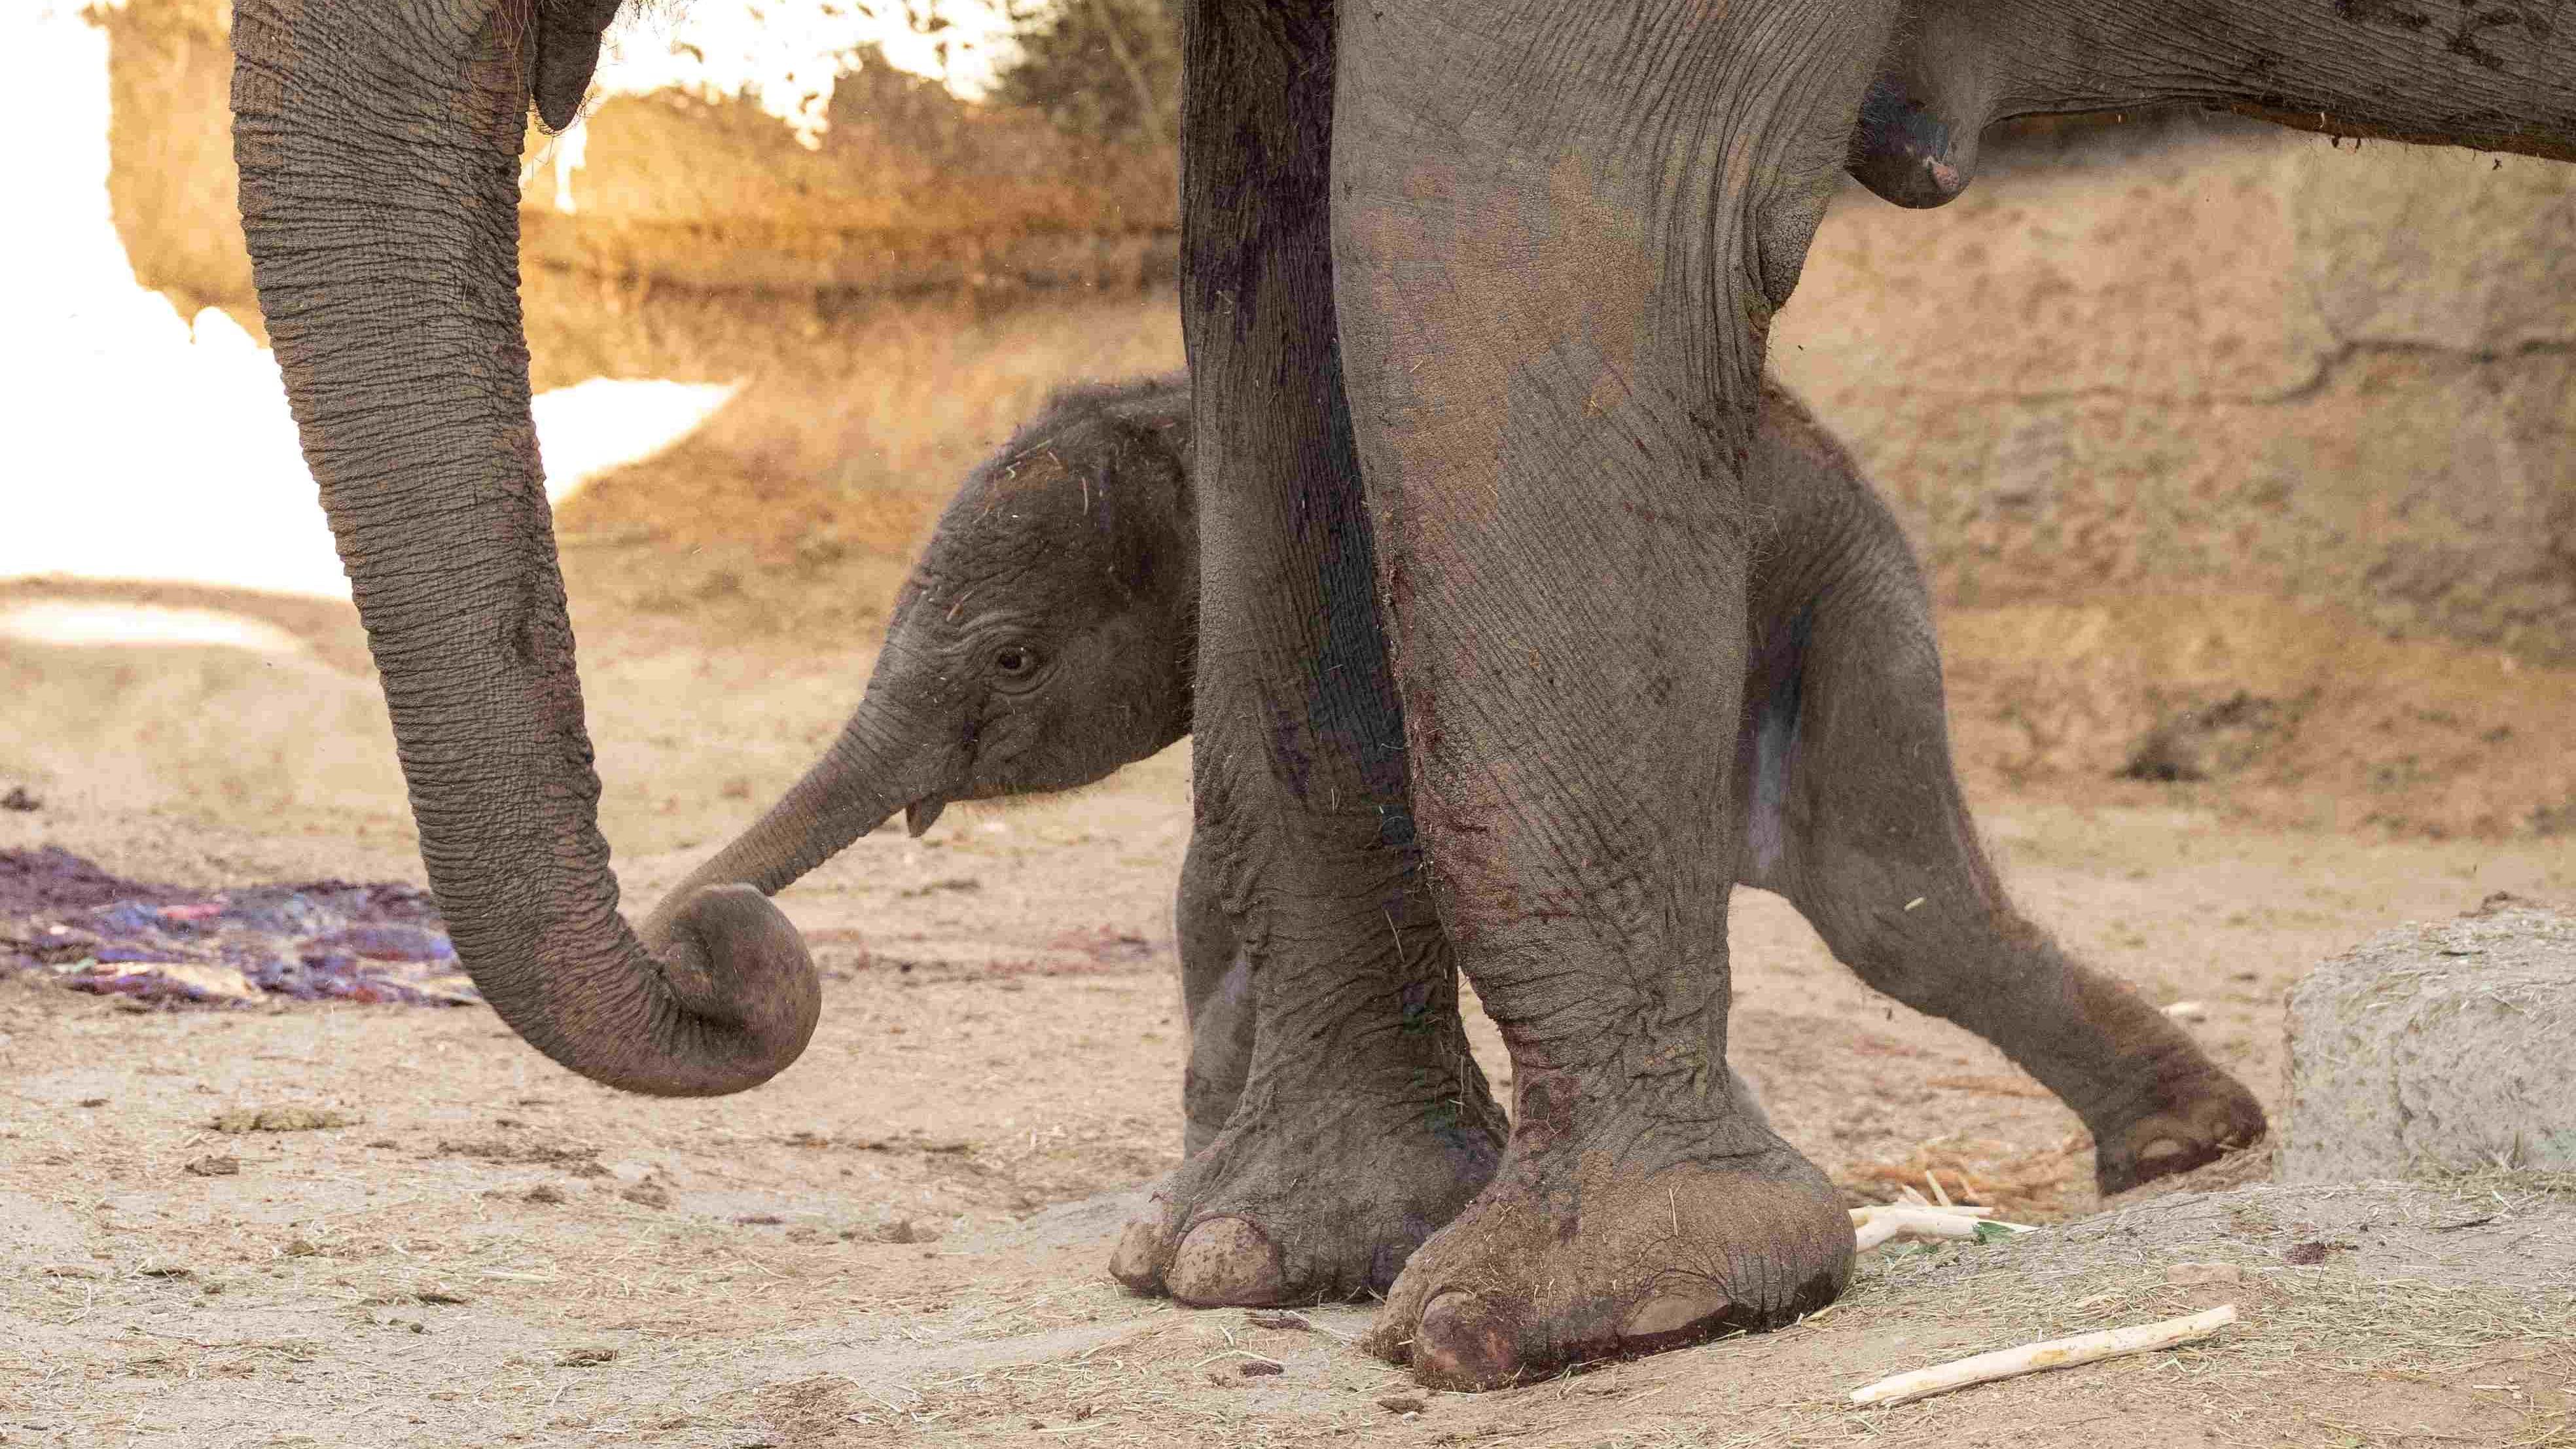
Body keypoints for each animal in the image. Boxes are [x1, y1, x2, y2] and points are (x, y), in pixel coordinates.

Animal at [656, 370, 2262, 1183]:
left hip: (1828, 594)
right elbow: (1217, 873)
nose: (711, 939)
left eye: (1009, 661)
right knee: (1896, 904)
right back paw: (2182, 1144)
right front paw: (1215, 1164)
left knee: (1886, 904)